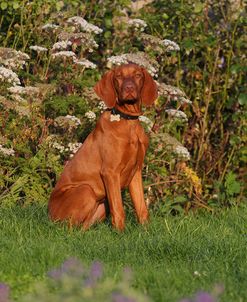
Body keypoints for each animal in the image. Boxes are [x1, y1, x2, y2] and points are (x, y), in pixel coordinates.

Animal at [47, 62, 157, 230]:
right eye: (119, 76)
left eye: (138, 75)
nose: (129, 88)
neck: (128, 121)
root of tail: (48, 215)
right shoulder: (110, 172)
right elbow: (119, 209)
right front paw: (120, 233)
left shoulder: (136, 172)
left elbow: (142, 208)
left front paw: (146, 231)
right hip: (86, 190)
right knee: (68, 228)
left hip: (101, 205)